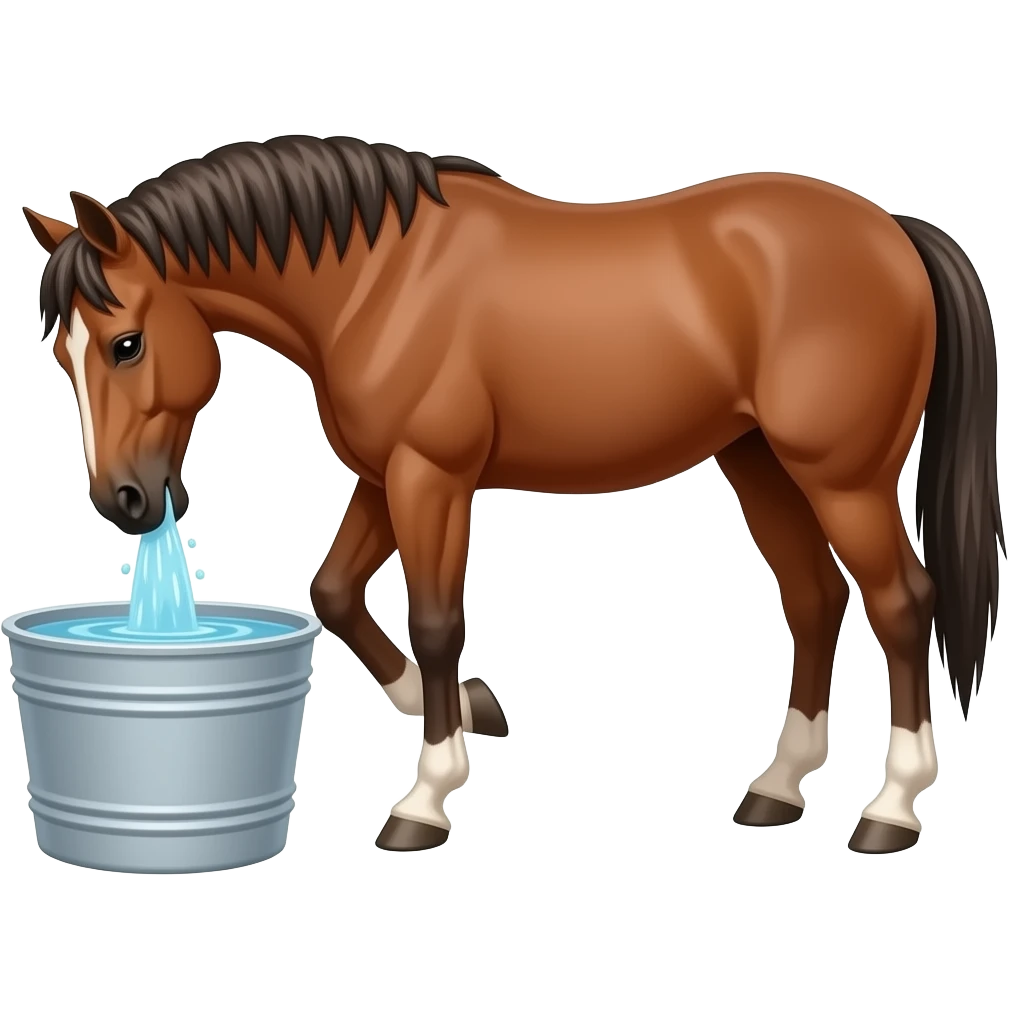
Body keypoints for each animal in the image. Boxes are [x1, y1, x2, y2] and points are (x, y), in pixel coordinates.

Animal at [24, 137, 1003, 855]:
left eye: (124, 344)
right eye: (61, 356)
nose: (125, 503)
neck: (378, 282)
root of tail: (892, 231)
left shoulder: (431, 476)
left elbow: (434, 620)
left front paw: (425, 794)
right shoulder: (384, 477)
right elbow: (334, 593)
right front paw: (465, 711)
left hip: (843, 477)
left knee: (901, 603)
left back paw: (891, 807)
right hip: (759, 462)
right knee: (814, 598)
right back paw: (776, 787)